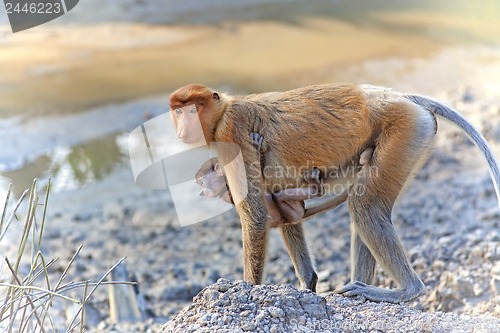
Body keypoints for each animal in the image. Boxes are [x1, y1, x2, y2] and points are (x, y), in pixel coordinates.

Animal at [196, 131, 376, 227]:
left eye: (202, 183)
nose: (202, 192)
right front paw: (258, 151)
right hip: (292, 213)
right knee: (276, 197)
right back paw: (316, 189)